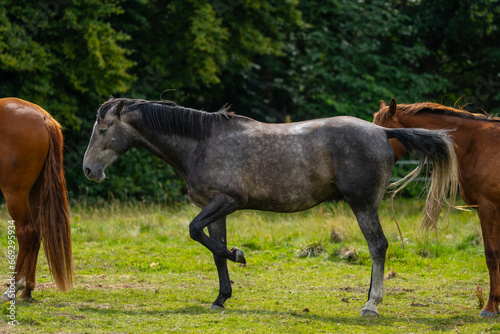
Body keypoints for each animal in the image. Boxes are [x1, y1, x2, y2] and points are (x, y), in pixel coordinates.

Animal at [0, 97, 73, 300]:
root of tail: (44, 118)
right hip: (34, 192)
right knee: (37, 232)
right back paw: (28, 288)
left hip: (16, 193)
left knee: (27, 232)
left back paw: (13, 288)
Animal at [82, 97, 458, 316]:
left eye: (102, 129)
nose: (88, 170)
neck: (202, 143)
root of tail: (382, 133)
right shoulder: (216, 207)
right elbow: (213, 248)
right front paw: (221, 297)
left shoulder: (228, 201)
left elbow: (195, 231)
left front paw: (240, 255)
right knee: (374, 248)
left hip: (363, 204)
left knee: (378, 246)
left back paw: (371, 305)